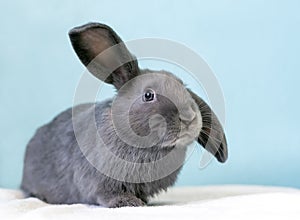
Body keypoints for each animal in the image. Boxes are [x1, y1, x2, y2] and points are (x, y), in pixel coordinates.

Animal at [21, 22, 227, 208]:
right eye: (148, 95)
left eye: (183, 86)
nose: (189, 117)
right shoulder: (100, 183)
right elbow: (107, 195)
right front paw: (128, 202)